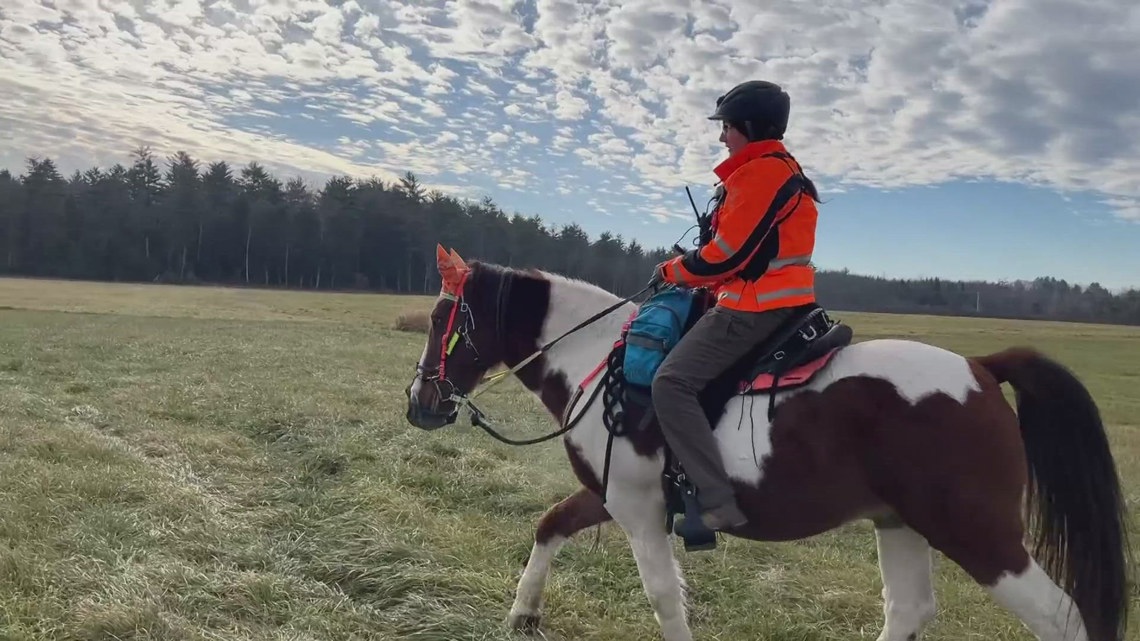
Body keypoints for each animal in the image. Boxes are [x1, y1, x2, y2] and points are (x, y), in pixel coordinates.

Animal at [404, 244, 1131, 641]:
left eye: (445, 318)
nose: (419, 402)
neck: (601, 358)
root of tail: (981, 368)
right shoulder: (610, 495)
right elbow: (549, 525)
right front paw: (523, 613)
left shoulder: (638, 509)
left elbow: (663, 595)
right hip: (900, 523)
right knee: (908, 610)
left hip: (979, 535)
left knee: (1062, 616)